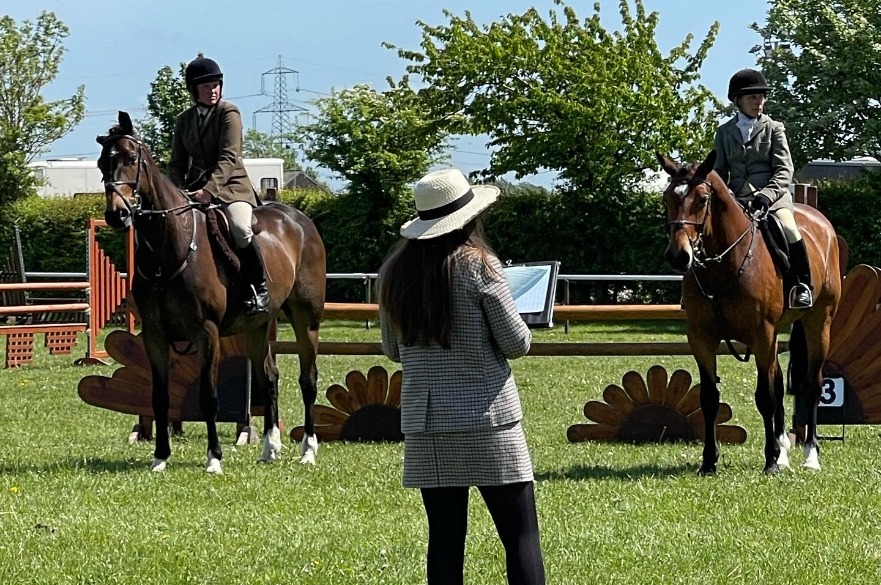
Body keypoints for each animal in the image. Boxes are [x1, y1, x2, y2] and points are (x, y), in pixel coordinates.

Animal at [99, 112, 326, 472]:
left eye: (131, 159)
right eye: (101, 164)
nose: (116, 214)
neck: (169, 250)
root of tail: (298, 219)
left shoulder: (206, 333)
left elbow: (208, 397)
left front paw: (214, 459)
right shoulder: (154, 335)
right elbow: (159, 398)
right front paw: (160, 458)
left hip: (307, 319)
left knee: (308, 379)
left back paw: (308, 451)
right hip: (258, 325)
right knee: (269, 378)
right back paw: (269, 448)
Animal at [656, 151, 844, 474]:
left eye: (702, 199)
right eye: (668, 196)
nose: (679, 255)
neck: (724, 264)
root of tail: (820, 221)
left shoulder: (761, 335)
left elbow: (765, 397)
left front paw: (769, 462)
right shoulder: (701, 338)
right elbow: (709, 398)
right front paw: (709, 462)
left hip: (818, 323)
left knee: (812, 384)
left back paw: (810, 455)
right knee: (779, 383)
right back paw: (784, 453)